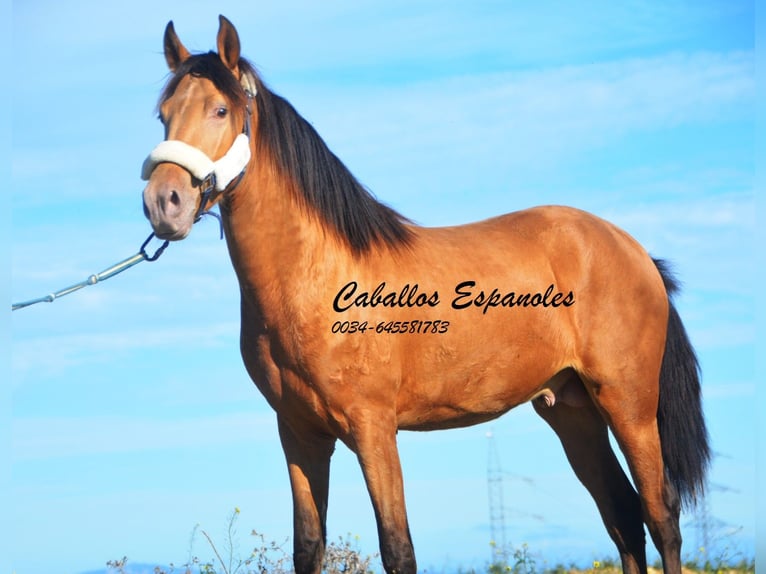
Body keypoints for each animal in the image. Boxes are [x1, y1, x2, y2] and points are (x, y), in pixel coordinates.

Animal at [141, 14, 712, 574]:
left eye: (220, 110)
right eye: (163, 115)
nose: (163, 203)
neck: (316, 275)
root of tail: (635, 252)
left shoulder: (373, 430)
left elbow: (398, 548)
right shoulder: (300, 434)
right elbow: (309, 547)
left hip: (628, 404)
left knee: (661, 517)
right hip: (572, 411)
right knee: (623, 518)